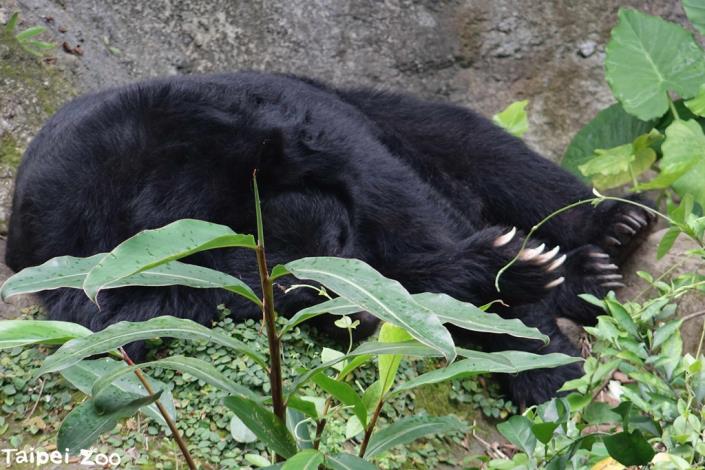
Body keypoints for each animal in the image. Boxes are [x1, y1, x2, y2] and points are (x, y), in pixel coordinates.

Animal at [6, 72, 656, 404]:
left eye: (342, 245)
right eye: (284, 293)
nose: (358, 322)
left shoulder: (285, 126)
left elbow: (399, 201)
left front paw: (539, 355)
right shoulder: (75, 260)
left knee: (480, 146)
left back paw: (615, 231)